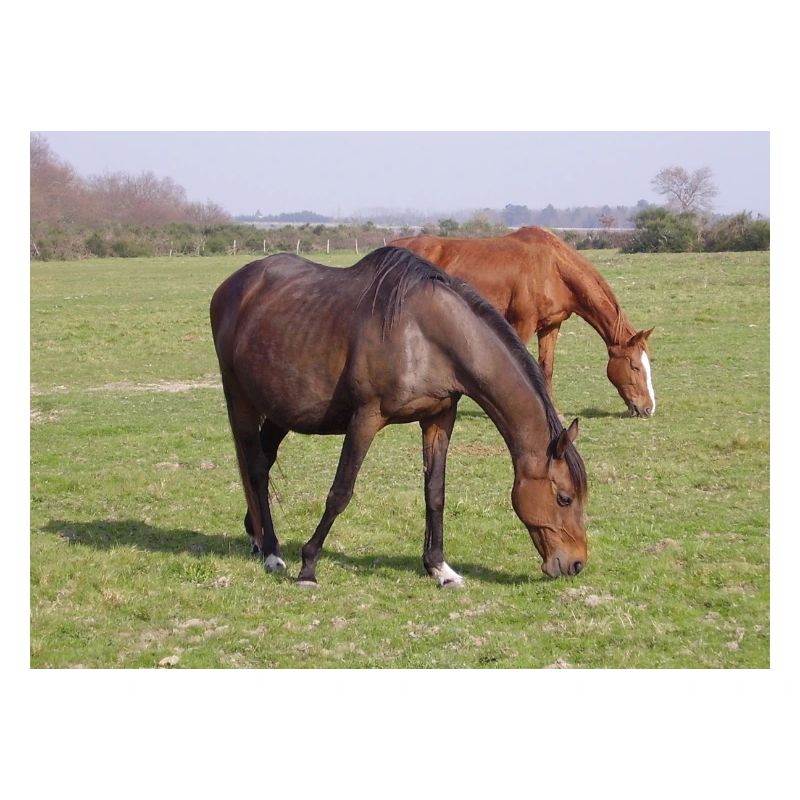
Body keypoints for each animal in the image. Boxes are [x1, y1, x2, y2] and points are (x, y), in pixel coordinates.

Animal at [210, 246, 589, 587]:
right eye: (564, 498)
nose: (576, 564)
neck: (423, 335)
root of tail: (231, 286)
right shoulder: (366, 418)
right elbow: (340, 492)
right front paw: (309, 566)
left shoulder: (439, 418)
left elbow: (435, 492)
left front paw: (439, 568)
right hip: (239, 399)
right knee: (256, 470)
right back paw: (273, 553)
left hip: (282, 410)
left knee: (263, 461)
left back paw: (258, 537)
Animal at [390, 226, 656, 417]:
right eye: (634, 366)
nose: (648, 408)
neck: (553, 267)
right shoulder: (523, 323)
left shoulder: (551, 326)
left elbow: (546, 368)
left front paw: (555, 411)